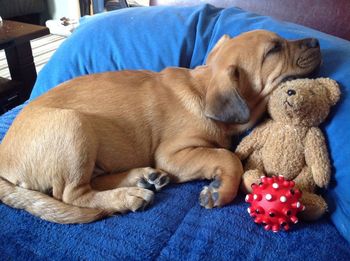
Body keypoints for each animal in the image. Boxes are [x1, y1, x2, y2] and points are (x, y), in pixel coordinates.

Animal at [0, 30, 320, 221]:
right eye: (274, 49)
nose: (317, 43)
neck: (202, 89)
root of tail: (3, 165)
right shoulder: (173, 154)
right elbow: (228, 157)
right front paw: (220, 191)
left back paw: (143, 178)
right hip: (73, 125)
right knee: (73, 194)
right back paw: (129, 196)